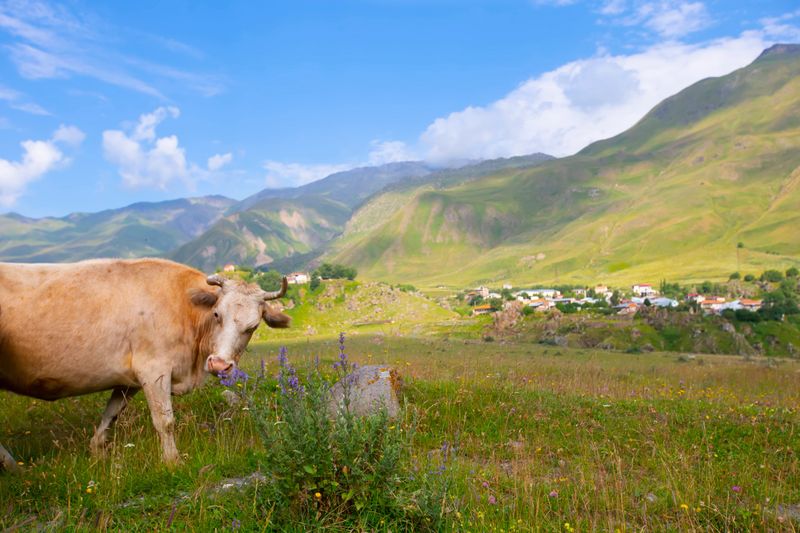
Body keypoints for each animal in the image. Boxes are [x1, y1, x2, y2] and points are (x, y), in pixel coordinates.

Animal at [0, 258, 290, 467]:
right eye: (217, 314)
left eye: (253, 326)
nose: (219, 365)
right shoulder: (154, 369)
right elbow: (165, 420)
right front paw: (173, 462)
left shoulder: (129, 380)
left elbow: (111, 415)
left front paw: (97, 452)